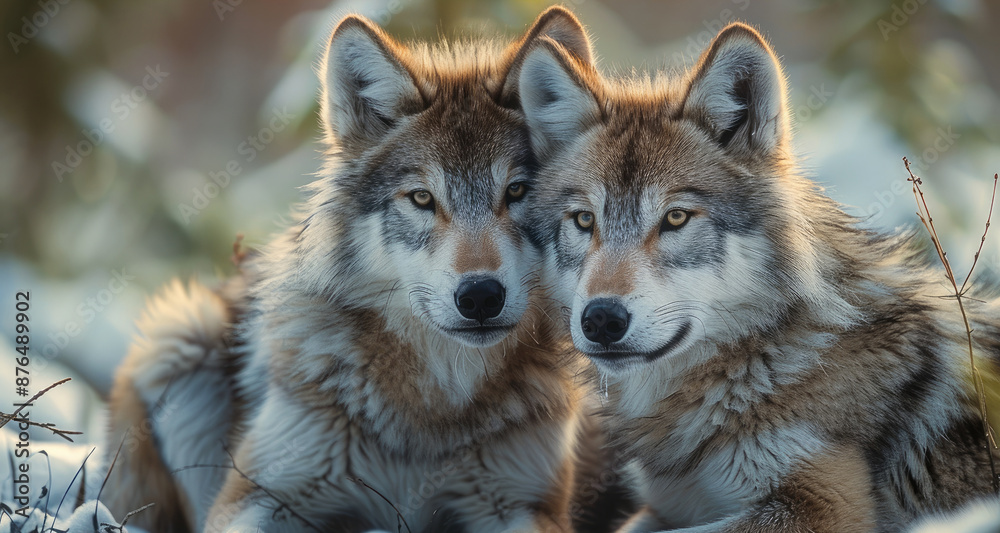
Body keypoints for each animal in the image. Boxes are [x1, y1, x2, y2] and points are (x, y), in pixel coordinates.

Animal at [103, 7, 604, 533]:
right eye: (421, 198)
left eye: (517, 192)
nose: (481, 296)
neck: (433, 409)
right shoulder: (253, 495)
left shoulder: (527, 504)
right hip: (181, 333)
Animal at [517, 22, 1000, 533]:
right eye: (584, 220)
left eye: (675, 218)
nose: (601, 320)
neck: (762, 355)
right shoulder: (664, 506)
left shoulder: (821, 505)